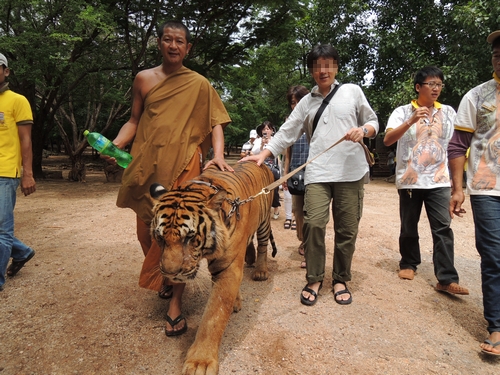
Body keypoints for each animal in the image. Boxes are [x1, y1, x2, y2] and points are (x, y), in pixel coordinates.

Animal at [150, 162, 280, 375]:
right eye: (160, 237)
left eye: (189, 237)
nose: (170, 274)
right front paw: (235, 301)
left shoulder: (228, 268)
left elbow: (213, 315)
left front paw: (200, 362)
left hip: (264, 221)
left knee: (262, 244)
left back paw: (260, 270)